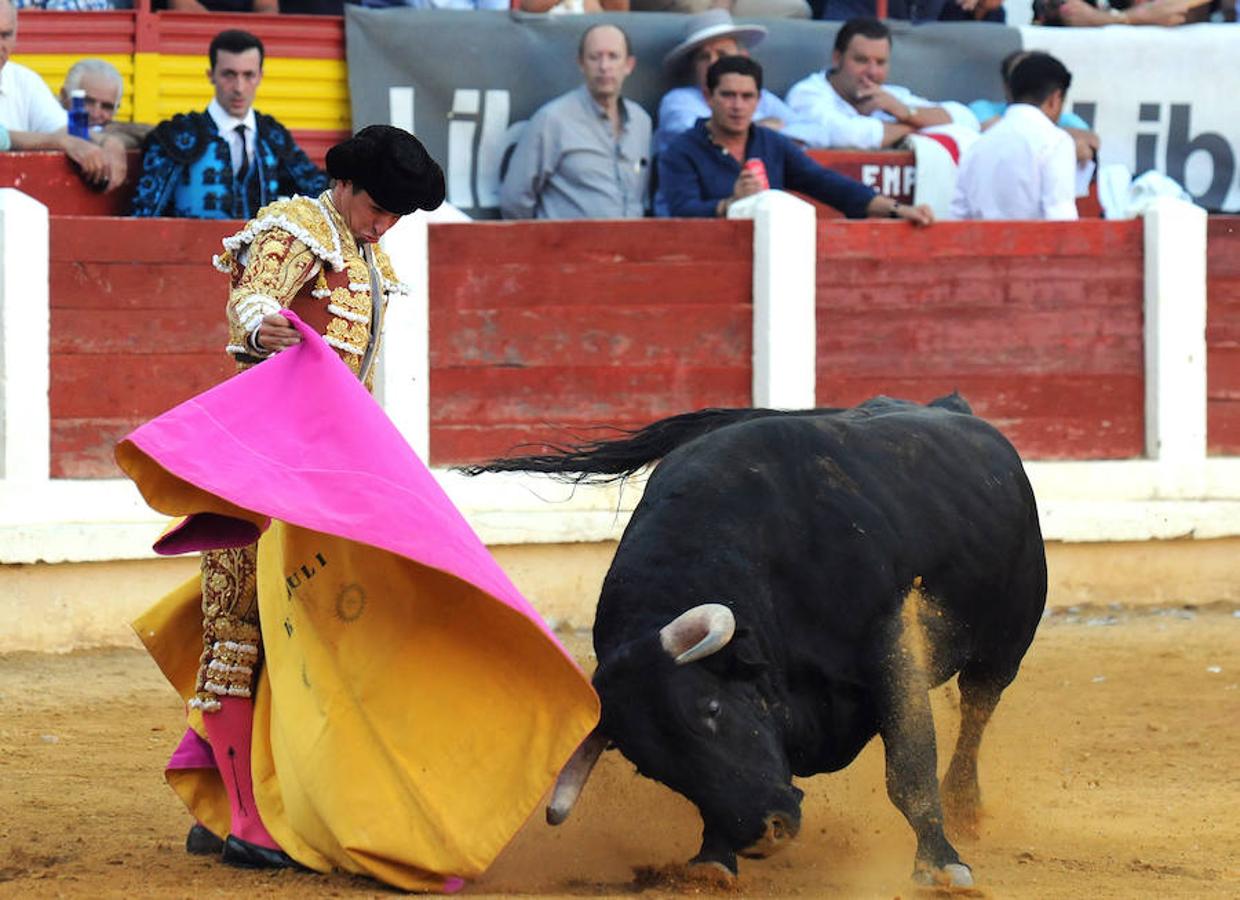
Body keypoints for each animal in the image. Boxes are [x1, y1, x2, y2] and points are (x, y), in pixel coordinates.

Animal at [468, 396, 1051, 887]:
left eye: (711, 709)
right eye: (650, 767)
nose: (766, 833)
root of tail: (951, 407)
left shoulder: (891, 648)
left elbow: (909, 765)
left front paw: (941, 864)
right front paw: (712, 861)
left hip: (1005, 643)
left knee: (977, 708)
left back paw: (966, 806)